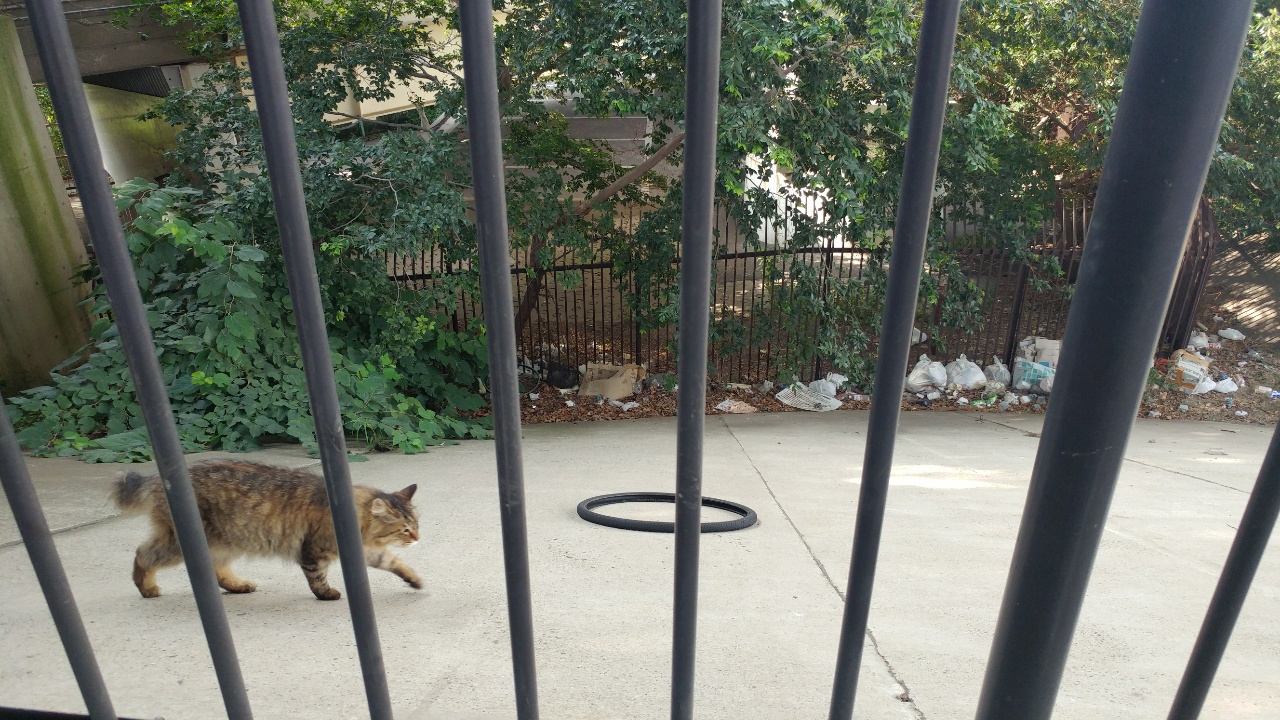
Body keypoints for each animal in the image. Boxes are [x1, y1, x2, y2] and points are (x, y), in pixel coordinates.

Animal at [111, 459, 422, 601]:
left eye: (416, 526)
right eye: (406, 530)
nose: (418, 538)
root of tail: (157, 477)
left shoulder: (368, 551)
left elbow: (394, 562)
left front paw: (414, 579)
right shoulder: (314, 551)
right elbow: (317, 578)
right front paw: (326, 594)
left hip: (226, 543)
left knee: (218, 570)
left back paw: (239, 586)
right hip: (181, 544)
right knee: (143, 553)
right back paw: (146, 587)